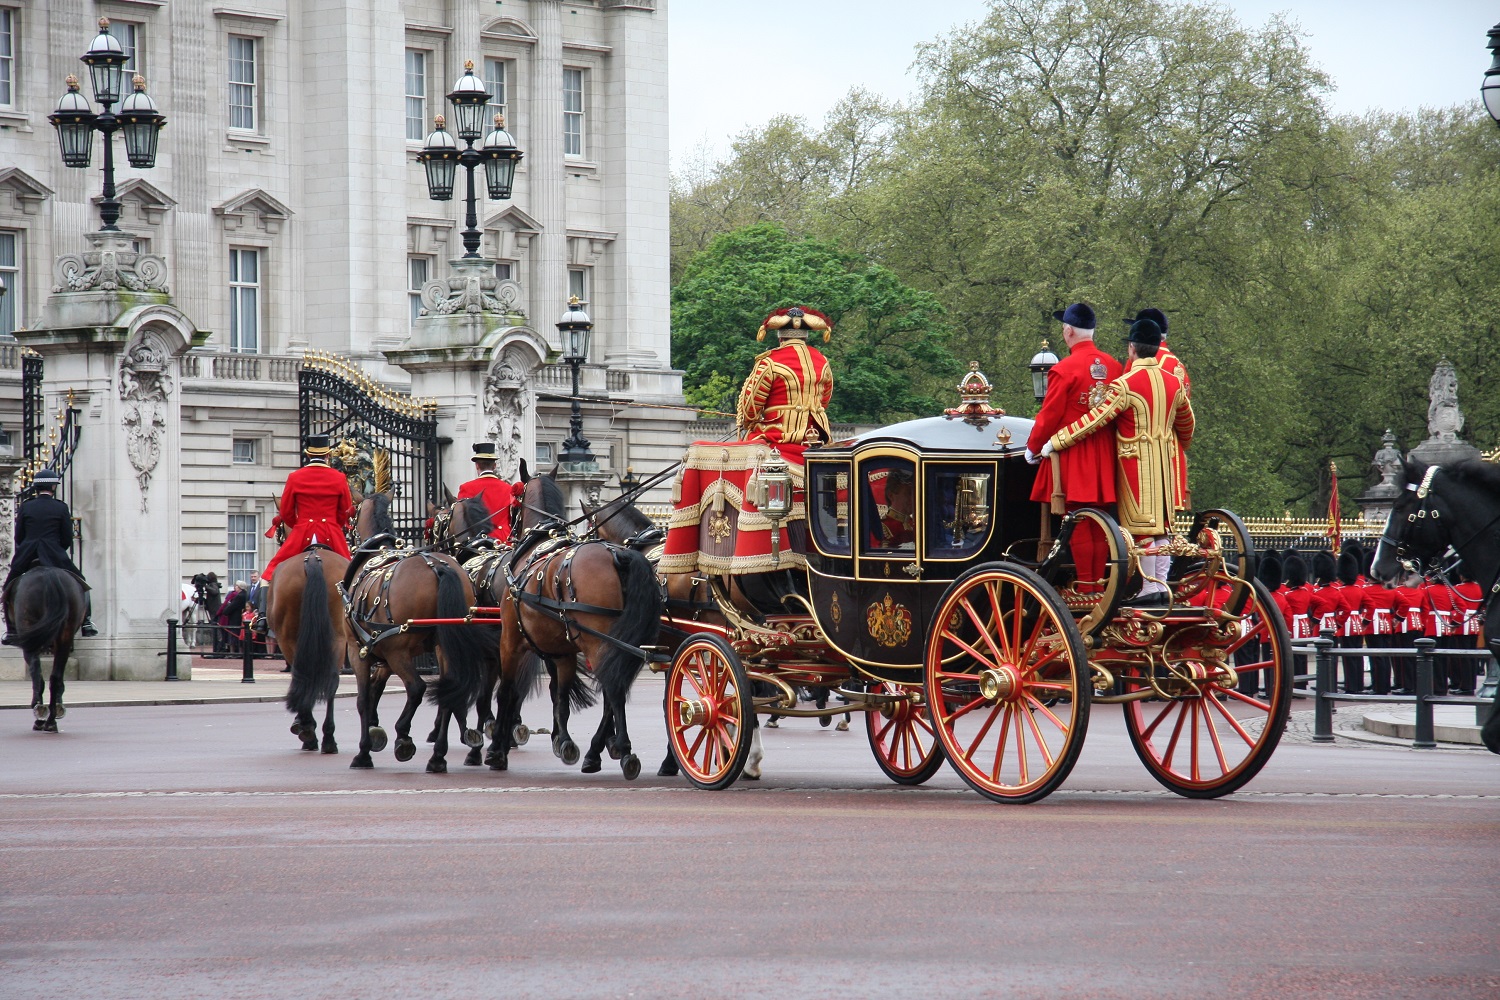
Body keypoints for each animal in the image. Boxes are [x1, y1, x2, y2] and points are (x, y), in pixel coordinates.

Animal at [10, 566, 86, 731]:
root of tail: (49, 573)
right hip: (65, 637)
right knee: (55, 677)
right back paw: (52, 718)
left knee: (37, 673)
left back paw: (41, 714)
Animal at [267, 551, 351, 755]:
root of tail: (313, 558)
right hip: (335, 638)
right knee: (330, 681)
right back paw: (326, 737)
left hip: (288, 639)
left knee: (304, 675)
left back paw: (312, 732)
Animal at [343, 491, 495, 773]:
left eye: (351, 516)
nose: (348, 538)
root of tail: (439, 567)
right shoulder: (382, 650)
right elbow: (376, 689)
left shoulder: (359, 649)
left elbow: (363, 698)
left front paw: (364, 751)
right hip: (442, 646)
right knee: (451, 690)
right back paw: (438, 756)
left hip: (399, 651)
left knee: (417, 688)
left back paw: (404, 737)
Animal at [492, 473, 663, 779]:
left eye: (513, 502)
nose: (508, 536)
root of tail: (620, 556)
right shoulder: (562, 649)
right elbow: (559, 693)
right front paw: (564, 741)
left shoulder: (510, 640)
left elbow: (507, 691)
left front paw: (497, 750)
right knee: (614, 687)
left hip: (598, 641)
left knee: (614, 687)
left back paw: (617, 752)